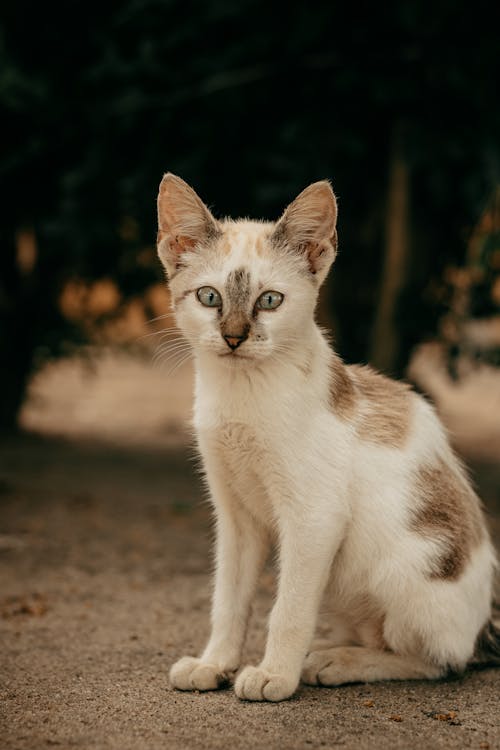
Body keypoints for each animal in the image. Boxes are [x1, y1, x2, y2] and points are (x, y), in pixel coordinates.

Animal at [156, 173, 500, 704]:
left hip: (408, 571)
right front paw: (215, 663)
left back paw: (337, 662)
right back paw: (331, 649)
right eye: (209, 297)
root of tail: (484, 626)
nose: (234, 337)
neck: (241, 394)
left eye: (269, 300)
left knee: (441, 661)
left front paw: (275, 675)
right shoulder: (235, 516)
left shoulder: (314, 517)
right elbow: (229, 598)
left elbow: (289, 608)